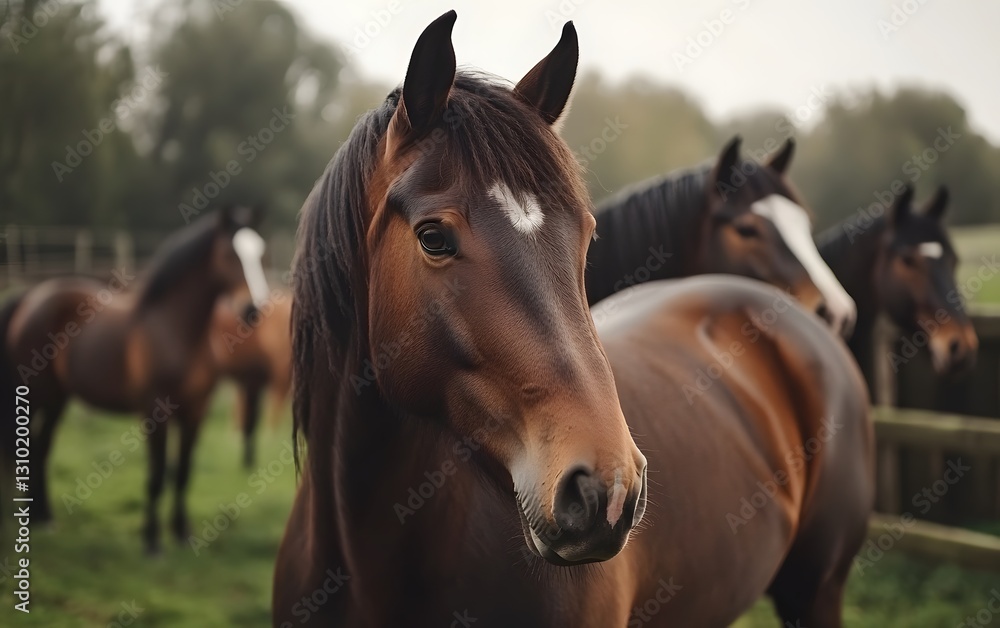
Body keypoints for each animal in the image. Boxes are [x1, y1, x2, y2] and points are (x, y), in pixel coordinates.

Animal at [0, 207, 269, 554]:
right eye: (228, 254)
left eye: (261, 253)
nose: (253, 310)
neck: (174, 329)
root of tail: (29, 297)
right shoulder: (155, 411)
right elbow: (156, 475)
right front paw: (152, 541)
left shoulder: (196, 410)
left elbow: (183, 472)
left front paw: (182, 534)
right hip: (35, 395)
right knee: (30, 447)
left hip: (58, 398)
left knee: (41, 447)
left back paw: (42, 517)